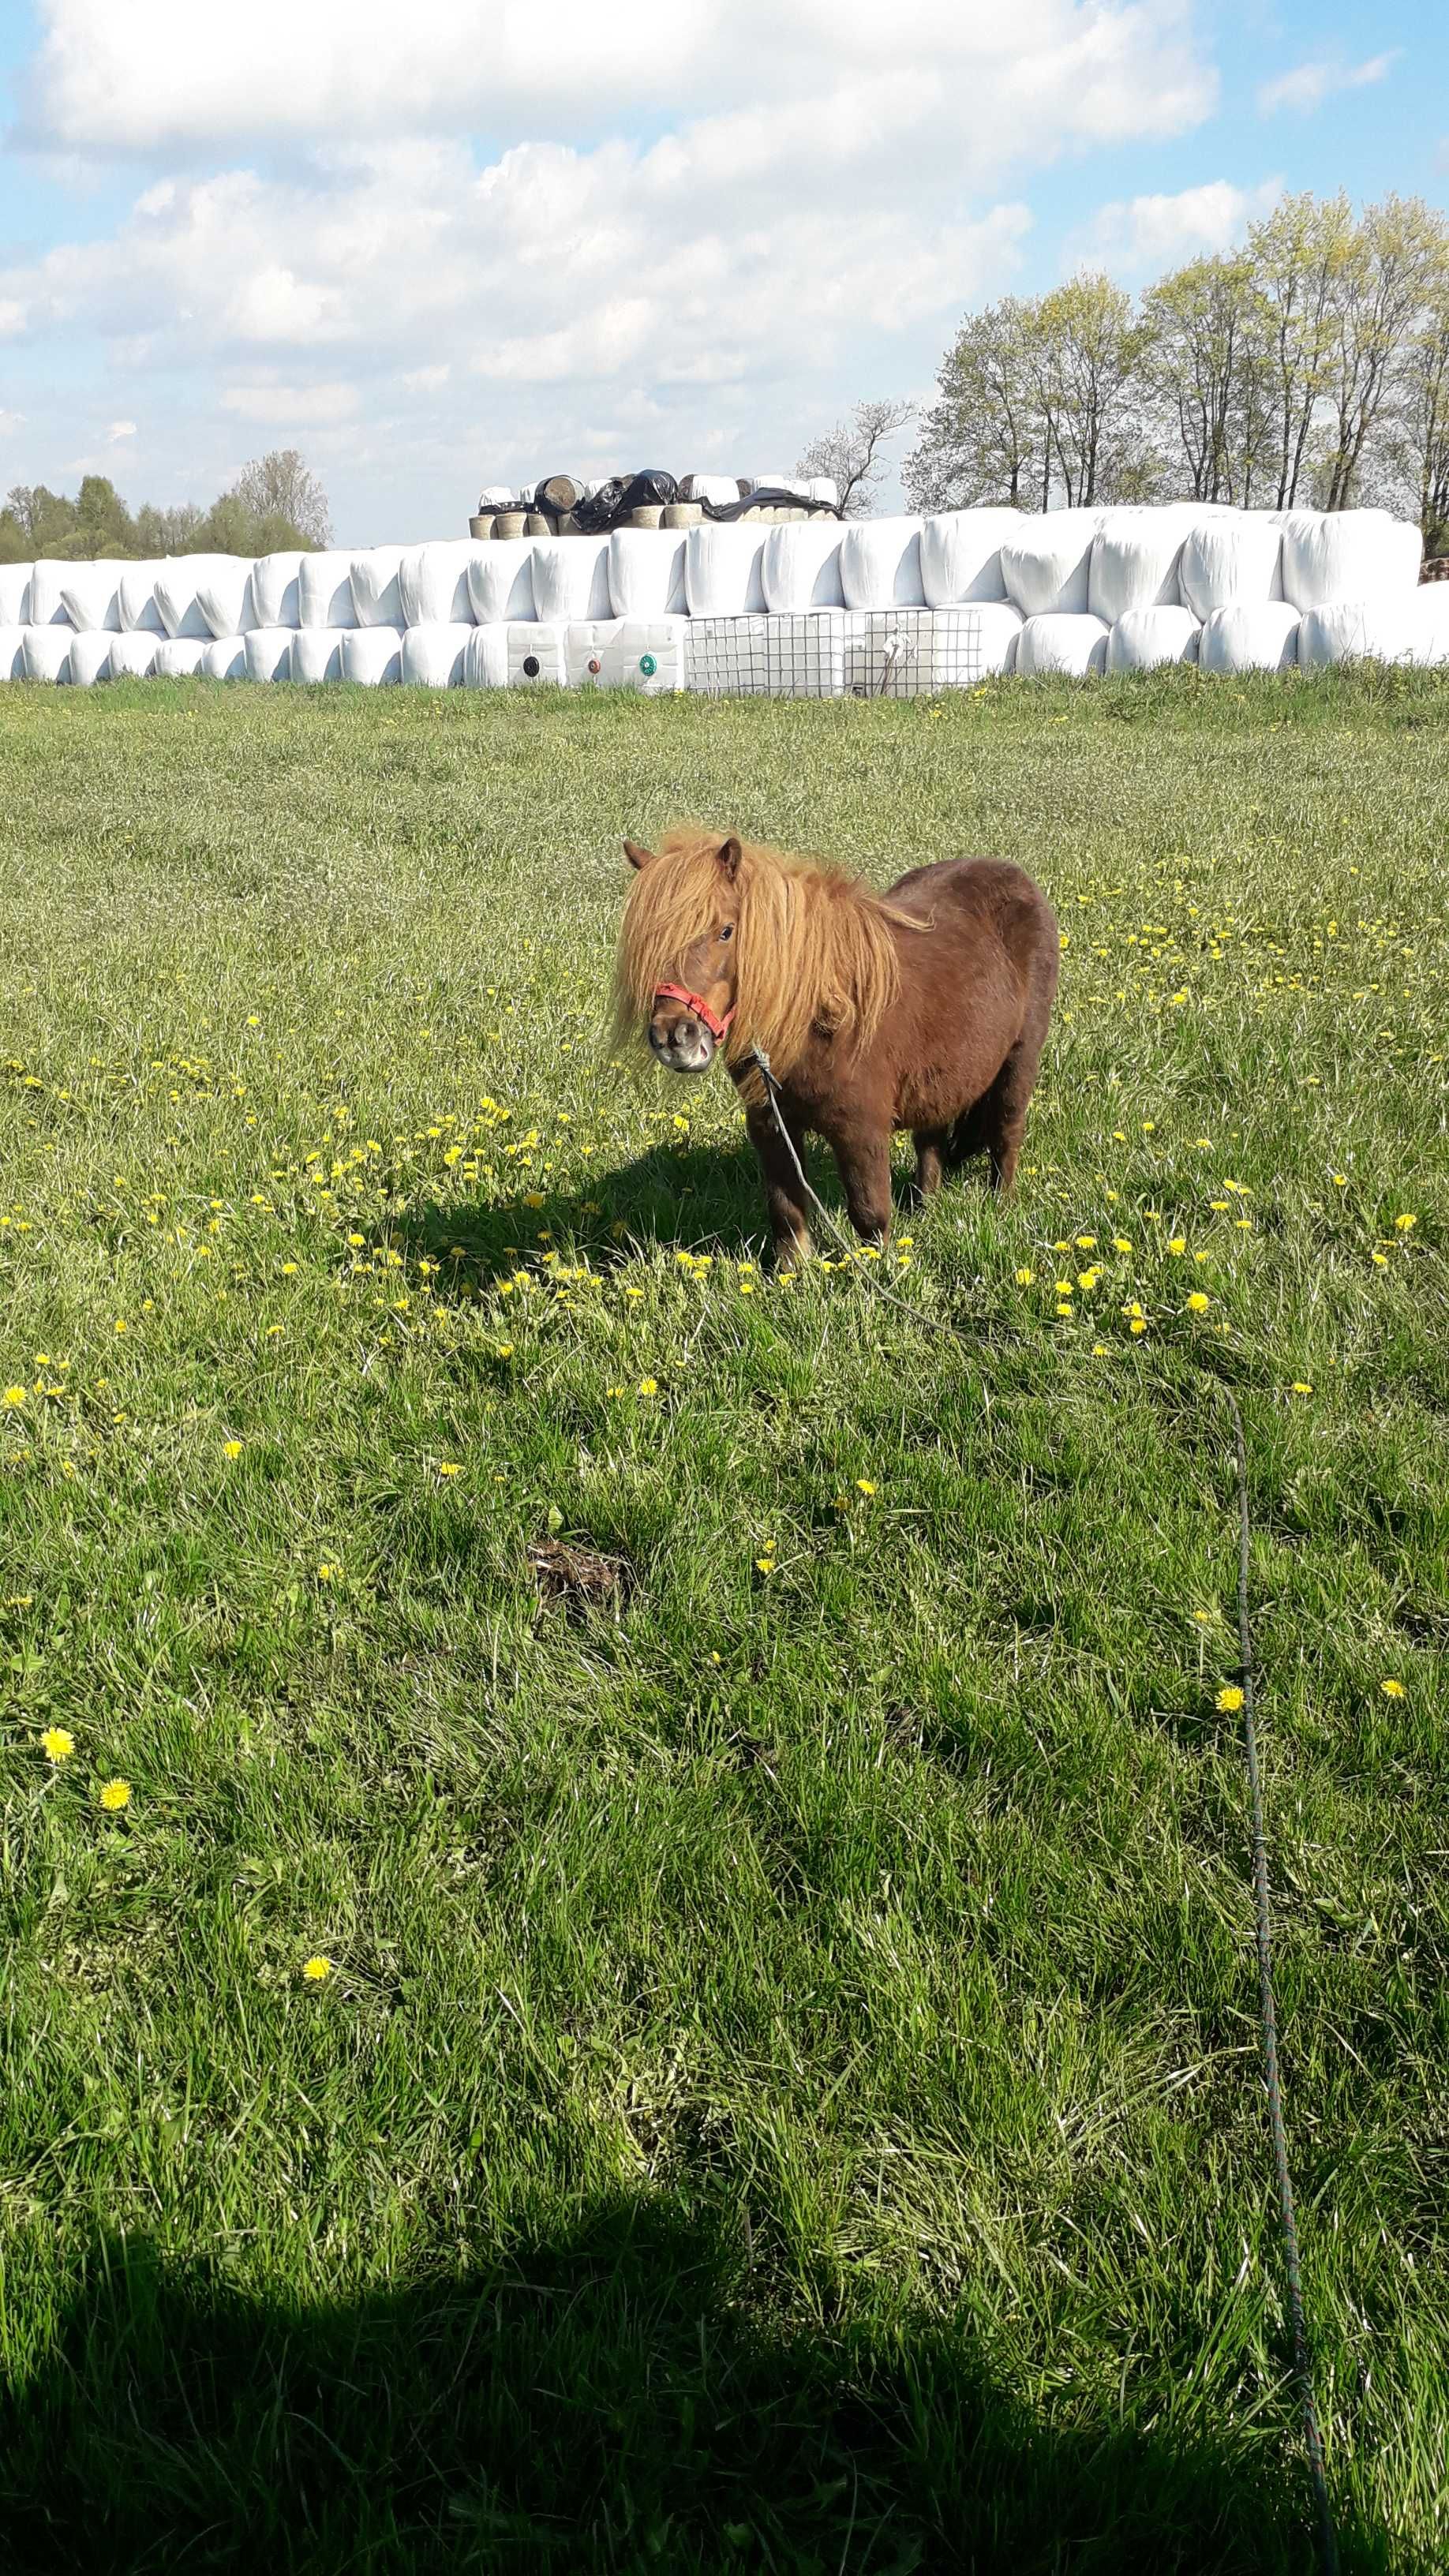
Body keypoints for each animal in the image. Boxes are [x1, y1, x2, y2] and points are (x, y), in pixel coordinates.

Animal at [603, 829, 1057, 1262]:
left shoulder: (861, 1130)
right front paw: (794, 1276)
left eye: (725, 931)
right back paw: (925, 1211)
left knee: (1006, 1134)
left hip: (1019, 1063)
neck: (817, 1017)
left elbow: (870, 1214)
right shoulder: (772, 1126)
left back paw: (1000, 1206)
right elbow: (786, 1210)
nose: (674, 1038)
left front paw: (882, 1273)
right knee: (931, 1144)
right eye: (647, 944)